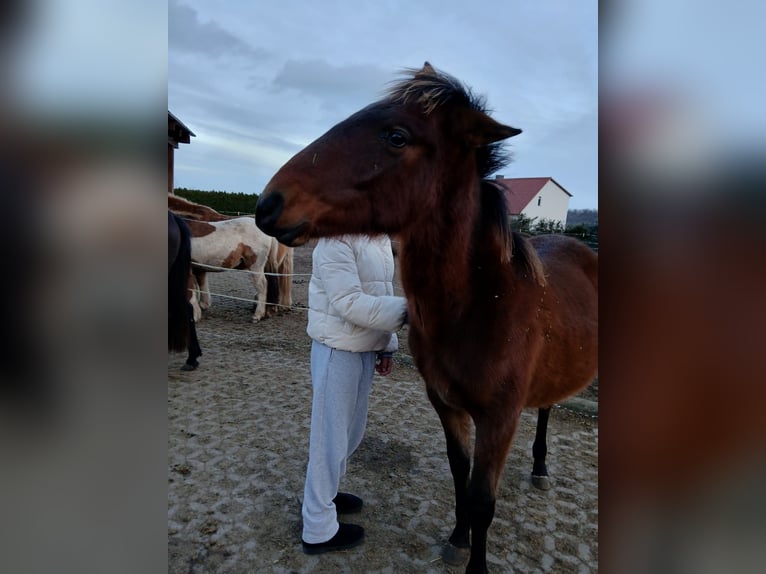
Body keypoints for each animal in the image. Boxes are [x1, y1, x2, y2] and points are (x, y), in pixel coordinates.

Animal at [258, 60, 600, 572]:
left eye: (397, 136)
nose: (268, 204)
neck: (479, 307)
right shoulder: (447, 406)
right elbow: (461, 476)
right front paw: (458, 539)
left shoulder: (499, 419)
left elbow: (482, 499)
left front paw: (475, 562)